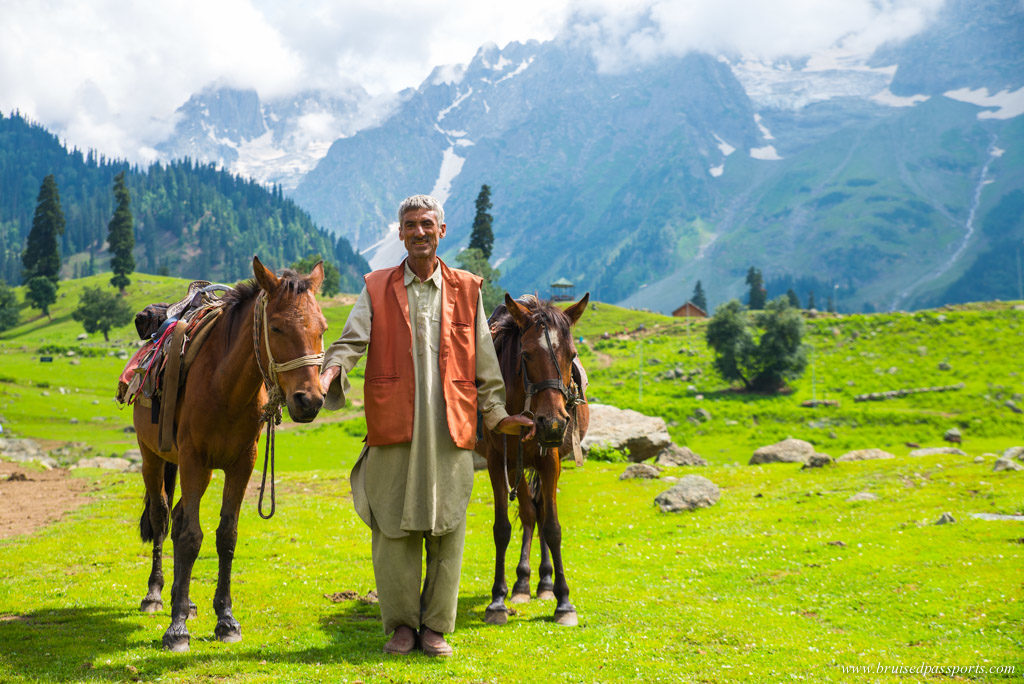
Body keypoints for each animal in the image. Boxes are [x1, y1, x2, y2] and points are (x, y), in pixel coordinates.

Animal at [132, 255, 323, 651]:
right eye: (277, 328)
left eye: (322, 328)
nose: (309, 400)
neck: (225, 386)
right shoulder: (194, 461)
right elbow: (191, 537)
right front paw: (176, 629)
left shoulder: (241, 465)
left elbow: (226, 536)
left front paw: (225, 619)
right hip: (153, 457)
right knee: (161, 517)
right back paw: (156, 595)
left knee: (177, 517)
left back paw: (185, 601)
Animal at [481, 290, 593, 626]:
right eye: (527, 355)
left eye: (571, 355)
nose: (553, 423)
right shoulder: (498, 461)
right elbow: (502, 528)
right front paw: (498, 599)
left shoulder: (550, 461)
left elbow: (552, 527)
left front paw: (563, 601)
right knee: (531, 514)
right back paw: (521, 583)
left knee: (540, 513)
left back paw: (543, 583)